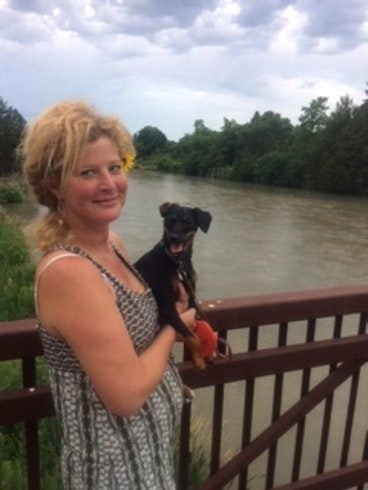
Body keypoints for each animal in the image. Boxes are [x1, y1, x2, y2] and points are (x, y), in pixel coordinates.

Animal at [134, 201, 211, 370]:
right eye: (170, 220)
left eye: (188, 222)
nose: (174, 237)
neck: (178, 262)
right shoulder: (167, 306)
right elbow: (192, 335)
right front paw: (198, 359)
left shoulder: (191, 297)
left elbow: (194, 328)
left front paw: (203, 354)